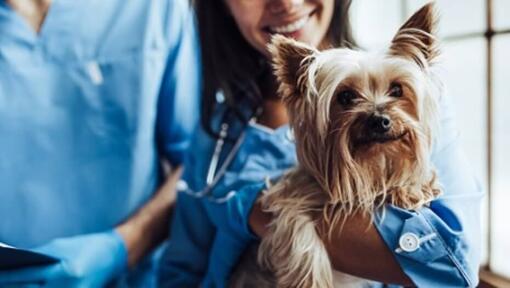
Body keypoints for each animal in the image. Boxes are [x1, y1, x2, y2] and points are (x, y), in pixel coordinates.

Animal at [231, 2, 442, 288]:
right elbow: (299, 234)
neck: (367, 165)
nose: (380, 120)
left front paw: (411, 187)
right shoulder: (286, 199)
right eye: (345, 97)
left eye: (397, 90)